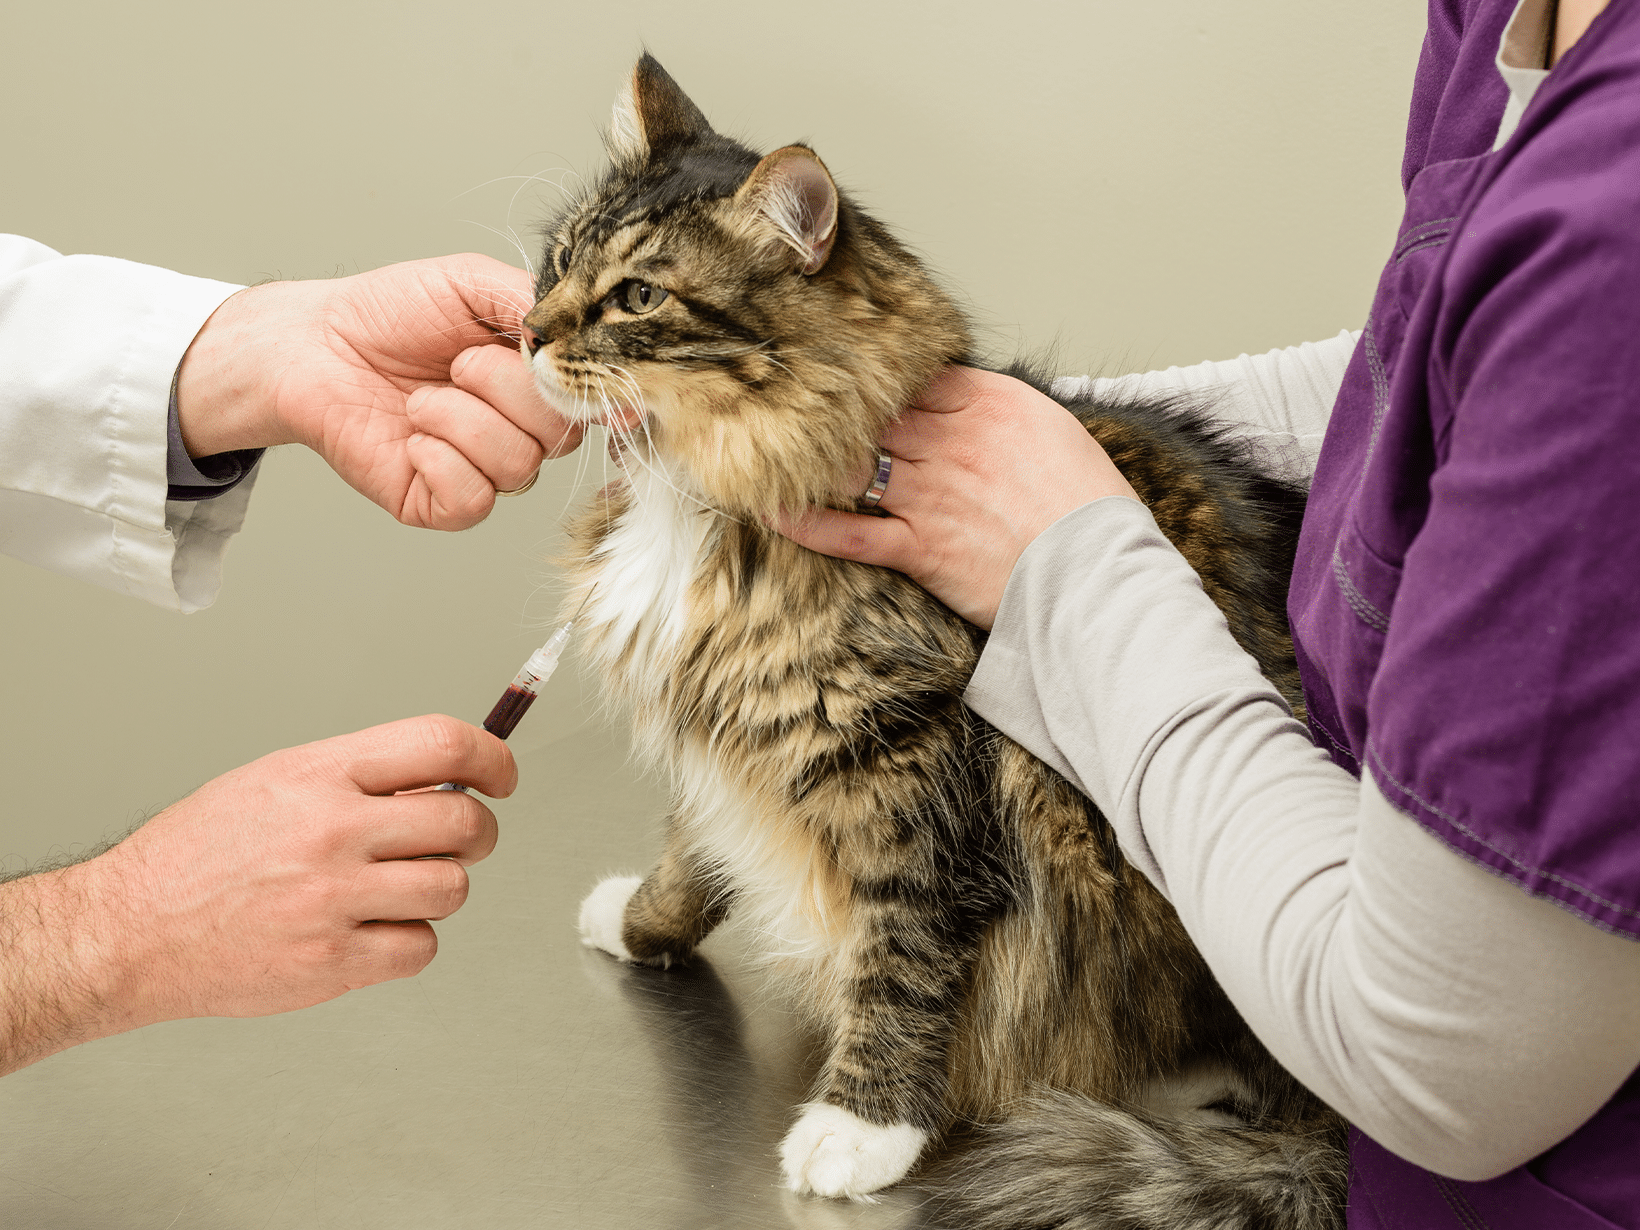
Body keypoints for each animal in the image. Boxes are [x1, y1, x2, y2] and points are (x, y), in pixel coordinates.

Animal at [524, 55, 1344, 1230]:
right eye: (558, 260)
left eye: (637, 296)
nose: (526, 332)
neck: (700, 497)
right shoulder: (729, 730)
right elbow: (695, 848)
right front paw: (638, 923)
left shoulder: (907, 760)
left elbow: (904, 953)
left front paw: (862, 1128)